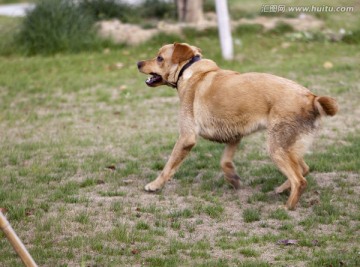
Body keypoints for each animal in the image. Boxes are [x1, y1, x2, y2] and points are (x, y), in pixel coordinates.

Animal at [136, 42, 338, 209]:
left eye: (159, 57)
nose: (138, 63)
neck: (191, 70)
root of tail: (311, 98)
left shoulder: (187, 137)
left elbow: (168, 166)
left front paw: (154, 185)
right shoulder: (234, 134)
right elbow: (225, 161)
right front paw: (232, 178)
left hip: (276, 146)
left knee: (299, 179)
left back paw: (288, 207)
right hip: (288, 145)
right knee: (304, 169)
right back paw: (282, 189)